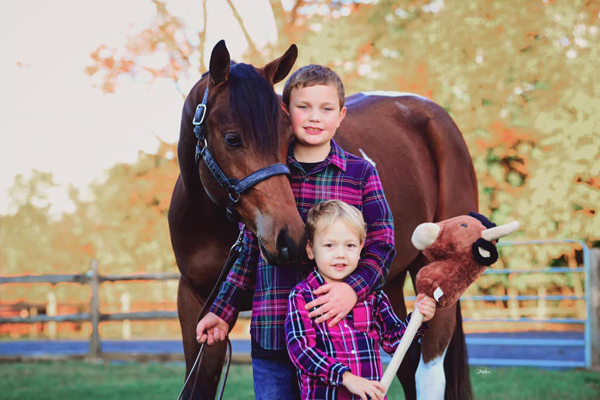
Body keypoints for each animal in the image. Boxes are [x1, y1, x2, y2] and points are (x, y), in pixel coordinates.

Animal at [169, 41, 478, 400]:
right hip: (388, 284)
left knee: (428, 372)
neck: (212, 226)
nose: (291, 239)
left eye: (286, 136)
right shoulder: (195, 304)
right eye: (232, 139)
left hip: (434, 274)